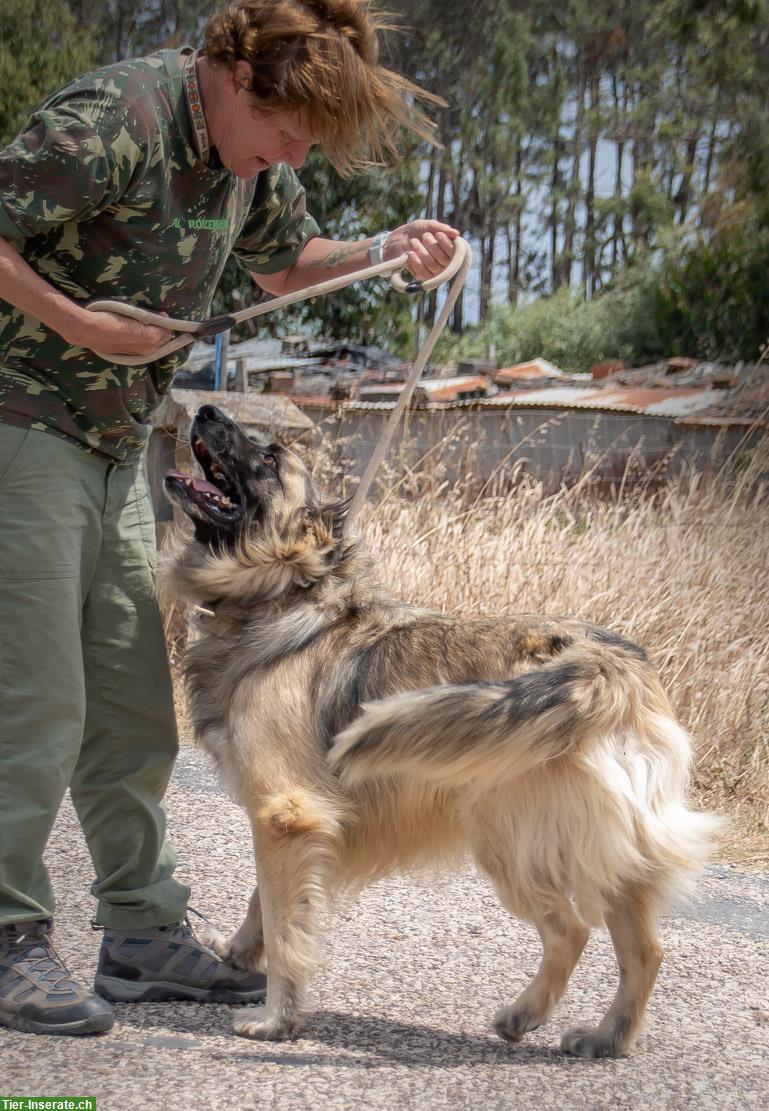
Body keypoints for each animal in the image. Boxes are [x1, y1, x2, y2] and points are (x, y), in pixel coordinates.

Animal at [161, 406, 720, 1057]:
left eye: (270, 456)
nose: (205, 410)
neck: (287, 590)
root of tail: (607, 665)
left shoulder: (285, 812)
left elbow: (284, 925)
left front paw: (279, 1018)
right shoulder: (289, 819)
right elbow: (263, 901)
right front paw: (238, 953)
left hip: (509, 842)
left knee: (571, 929)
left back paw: (528, 1015)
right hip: (612, 850)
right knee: (644, 951)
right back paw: (603, 1036)